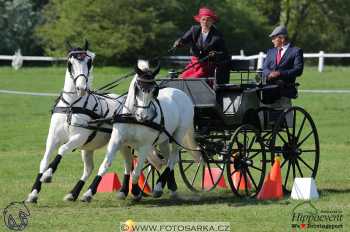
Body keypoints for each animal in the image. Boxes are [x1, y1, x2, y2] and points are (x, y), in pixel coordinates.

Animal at [24, 42, 131, 203]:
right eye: (70, 63)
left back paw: (122, 191)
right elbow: (44, 160)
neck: (71, 106)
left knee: (127, 165)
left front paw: (48, 175)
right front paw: (33, 193)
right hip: (88, 148)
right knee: (89, 168)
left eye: (89, 62)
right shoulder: (53, 138)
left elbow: (62, 150)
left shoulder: (79, 137)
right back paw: (73, 194)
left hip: (122, 143)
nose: (81, 88)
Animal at [79, 60, 200, 200]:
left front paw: (136, 191)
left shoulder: (144, 146)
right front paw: (89, 193)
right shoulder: (117, 141)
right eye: (137, 89)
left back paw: (159, 186)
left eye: (155, 90)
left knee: (173, 158)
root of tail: (181, 93)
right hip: (164, 139)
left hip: (178, 135)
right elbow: (106, 165)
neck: (133, 118)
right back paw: (171, 186)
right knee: (169, 158)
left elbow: (137, 170)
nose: (143, 116)